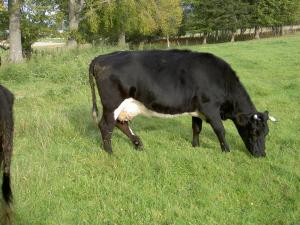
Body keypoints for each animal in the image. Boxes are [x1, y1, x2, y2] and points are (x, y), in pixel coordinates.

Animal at [88, 50, 274, 157]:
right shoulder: (210, 107)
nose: (261, 154)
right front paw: (226, 151)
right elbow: (220, 130)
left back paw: (138, 144)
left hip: (126, 105)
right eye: (255, 131)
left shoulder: (198, 109)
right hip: (112, 103)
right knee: (106, 125)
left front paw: (196, 146)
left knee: (121, 123)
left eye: (266, 133)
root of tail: (102, 57)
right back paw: (110, 152)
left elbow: (196, 128)